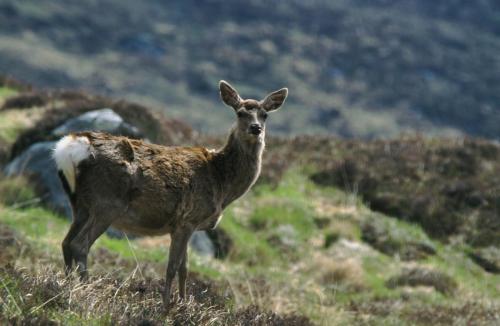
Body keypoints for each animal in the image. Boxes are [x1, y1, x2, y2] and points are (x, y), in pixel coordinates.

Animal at [52, 80, 288, 310]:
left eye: (265, 114)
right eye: (240, 113)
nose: (256, 128)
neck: (222, 183)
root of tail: (72, 146)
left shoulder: (183, 226)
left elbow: (185, 268)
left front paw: (183, 305)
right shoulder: (188, 219)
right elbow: (172, 266)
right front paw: (166, 307)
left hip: (79, 204)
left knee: (66, 242)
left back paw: (67, 287)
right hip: (107, 203)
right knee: (80, 244)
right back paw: (86, 290)